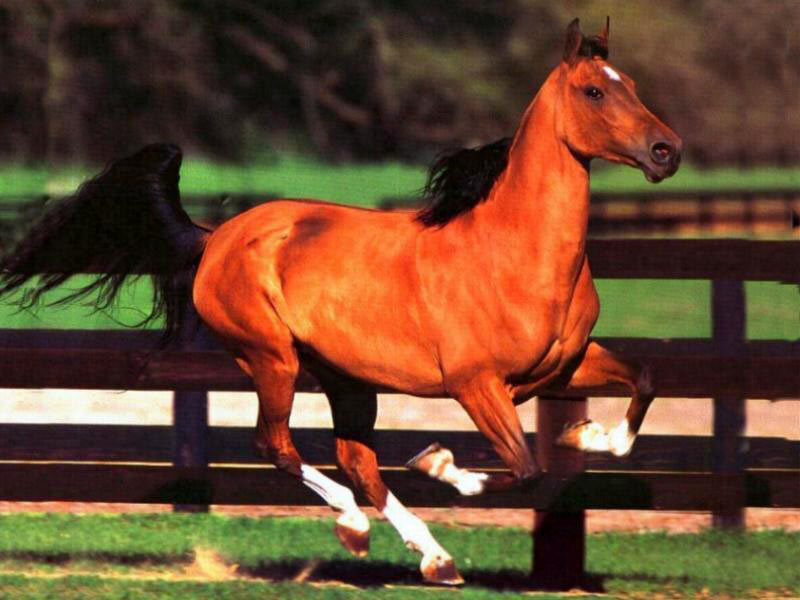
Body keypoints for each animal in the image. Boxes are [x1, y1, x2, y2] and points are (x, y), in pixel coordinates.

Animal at [0, 18, 681, 585]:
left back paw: (435, 559)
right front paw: (438, 463)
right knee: (279, 448)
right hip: (272, 359)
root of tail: (216, 236)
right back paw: (358, 528)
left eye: (631, 84)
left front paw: (586, 435)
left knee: (358, 463)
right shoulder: (476, 383)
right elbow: (522, 469)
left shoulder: (566, 365)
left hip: (346, 378)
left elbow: (642, 383)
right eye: (594, 92)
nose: (666, 152)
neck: (514, 253)